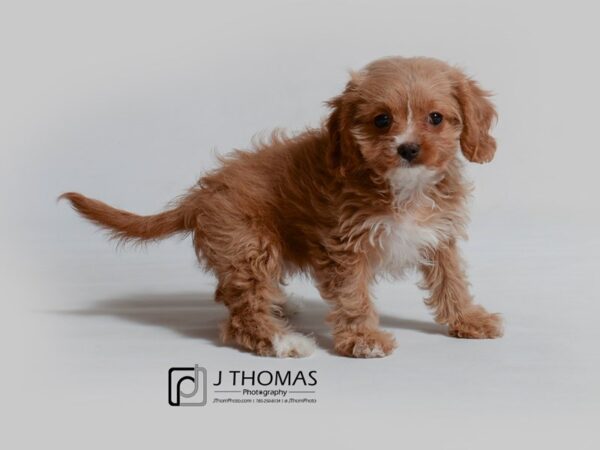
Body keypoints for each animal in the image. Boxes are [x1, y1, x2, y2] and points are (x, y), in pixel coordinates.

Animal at [59, 57, 502, 358]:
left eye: (435, 118)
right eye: (381, 120)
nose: (408, 149)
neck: (406, 187)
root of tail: (201, 194)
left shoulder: (440, 235)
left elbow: (451, 283)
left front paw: (469, 320)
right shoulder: (344, 248)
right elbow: (353, 296)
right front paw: (364, 340)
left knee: (232, 294)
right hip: (250, 244)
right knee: (242, 314)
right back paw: (280, 340)